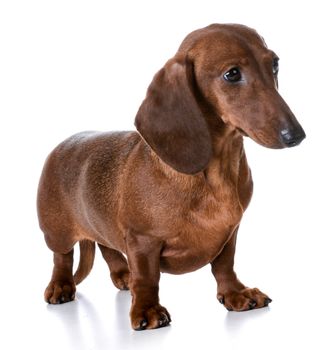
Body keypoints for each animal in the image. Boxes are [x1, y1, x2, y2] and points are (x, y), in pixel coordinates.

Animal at [37, 23, 306, 330]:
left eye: (274, 63)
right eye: (232, 74)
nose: (296, 135)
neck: (215, 174)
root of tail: (63, 143)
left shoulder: (231, 232)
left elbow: (225, 266)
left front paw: (235, 294)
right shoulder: (143, 240)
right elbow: (147, 278)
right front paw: (146, 309)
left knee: (108, 248)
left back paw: (123, 274)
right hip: (56, 230)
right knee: (62, 258)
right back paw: (61, 286)